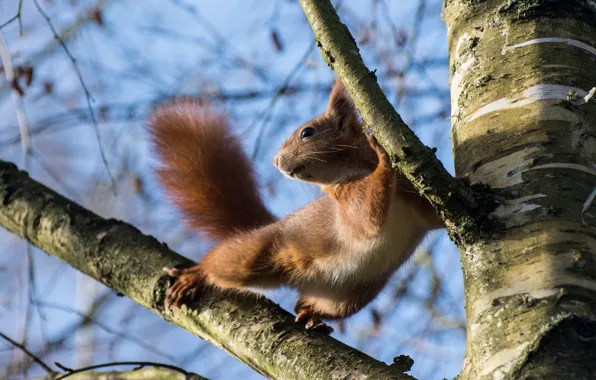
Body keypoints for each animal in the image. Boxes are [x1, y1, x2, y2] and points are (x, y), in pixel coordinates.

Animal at [151, 80, 444, 332]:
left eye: (307, 132)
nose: (275, 161)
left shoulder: (416, 202)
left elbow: (434, 217)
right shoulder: (349, 205)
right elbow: (367, 216)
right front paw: (383, 154)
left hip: (347, 299)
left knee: (305, 304)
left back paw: (310, 316)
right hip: (254, 255)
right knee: (223, 262)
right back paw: (196, 275)